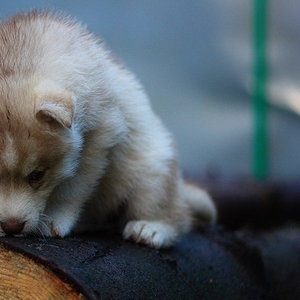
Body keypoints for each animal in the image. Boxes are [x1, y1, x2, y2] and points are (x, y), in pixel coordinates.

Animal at [0, 10, 217, 247]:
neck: (18, 61)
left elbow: (72, 186)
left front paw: (54, 218)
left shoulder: (101, 132)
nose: (11, 227)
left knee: (174, 213)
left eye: (37, 175)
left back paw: (152, 228)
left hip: (153, 171)